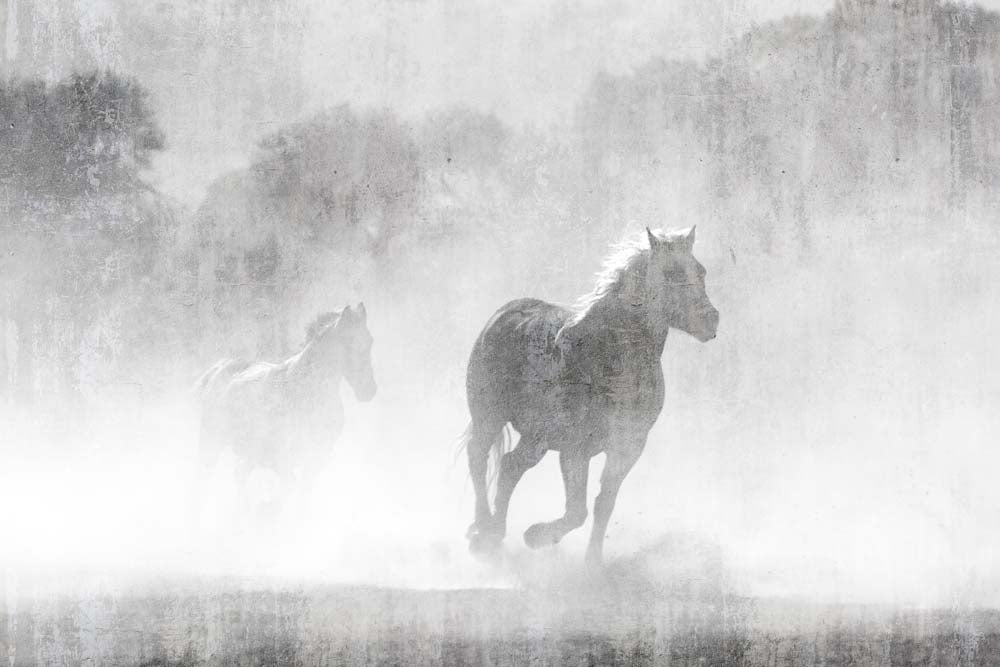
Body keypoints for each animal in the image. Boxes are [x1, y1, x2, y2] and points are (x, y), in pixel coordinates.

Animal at [194, 303, 376, 513]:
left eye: (370, 341)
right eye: (348, 343)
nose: (369, 390)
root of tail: (220, 368)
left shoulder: (317, 458)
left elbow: (301, 497)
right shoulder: (279, 457)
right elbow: (289, 488)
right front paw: (267, 509)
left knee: (239, 474)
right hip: (211, 443)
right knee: (203, 483)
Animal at [462, 227, 718, 565]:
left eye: (700, 271)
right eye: (671, 273)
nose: (711, 321)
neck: (610, 359)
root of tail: (504, 314)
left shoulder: (626, 448)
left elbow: (602, 504)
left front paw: (592, 562)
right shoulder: (574, 448)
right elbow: (576, 511)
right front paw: (535, 536)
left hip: (536, 437)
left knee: (509, 466)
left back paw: (491, 532)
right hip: (490, 418)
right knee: (482, 459)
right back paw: (484, 531)